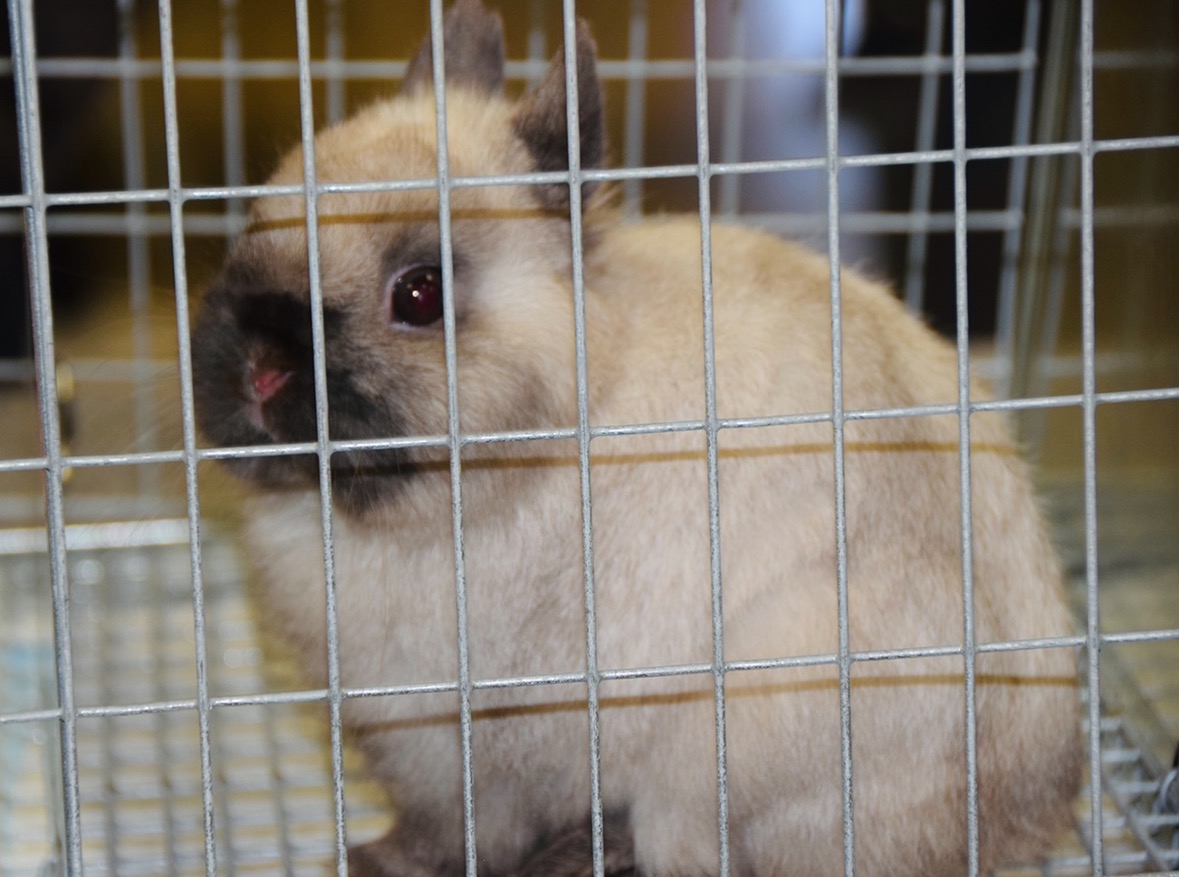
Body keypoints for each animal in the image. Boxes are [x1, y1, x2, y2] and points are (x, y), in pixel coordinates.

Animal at [189, 2, 1083, 875]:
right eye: (256, 215)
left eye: (418, 293)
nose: (260, 368)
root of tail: (1018, 812)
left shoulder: (452, 752)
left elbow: (457, 833)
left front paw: (376, 858)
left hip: (730, 750)